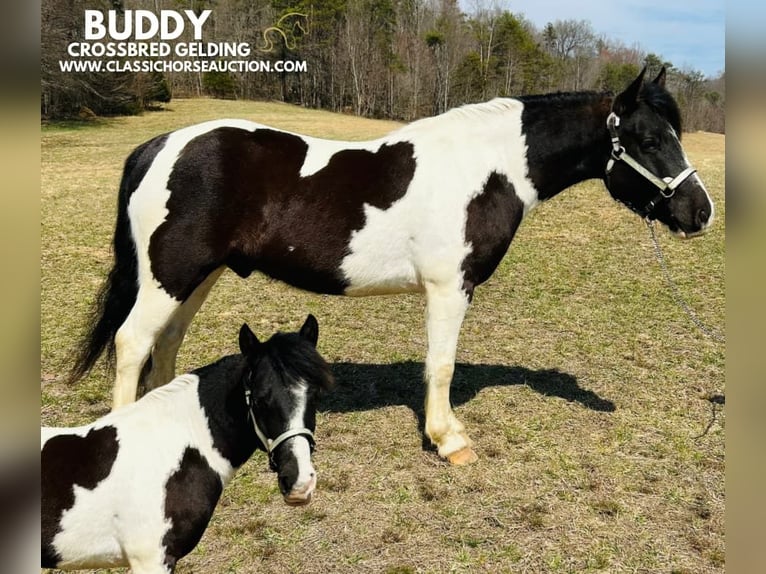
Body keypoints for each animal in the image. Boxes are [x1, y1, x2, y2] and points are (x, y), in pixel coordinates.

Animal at [67, 67, 712, 466]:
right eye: (649, 140)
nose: (699, 211)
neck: (487, 169)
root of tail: (160, 145)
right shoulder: (450, 287)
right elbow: (442, 365)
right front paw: (449, 440)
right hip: (171, 275)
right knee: (132, 343)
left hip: (195, 276)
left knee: (166, 342)